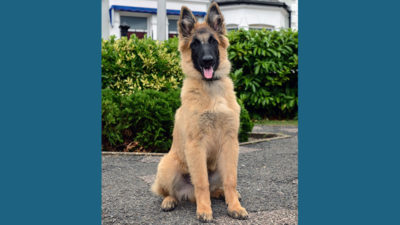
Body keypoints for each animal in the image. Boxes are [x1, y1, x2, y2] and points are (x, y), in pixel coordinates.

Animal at [152, 2, 248, 222]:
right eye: (195, 44)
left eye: (213, 41)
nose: (207, 60)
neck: (210, 89)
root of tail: (188, 195)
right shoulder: (196, 145)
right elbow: (202, 182)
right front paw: (205, 210)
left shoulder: (230, 143)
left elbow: (231, 180)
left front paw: (234, 206)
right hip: (167, 165)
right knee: (172, 191)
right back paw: (170, 201)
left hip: (223, 161)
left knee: (216, 187)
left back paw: (222, 194)